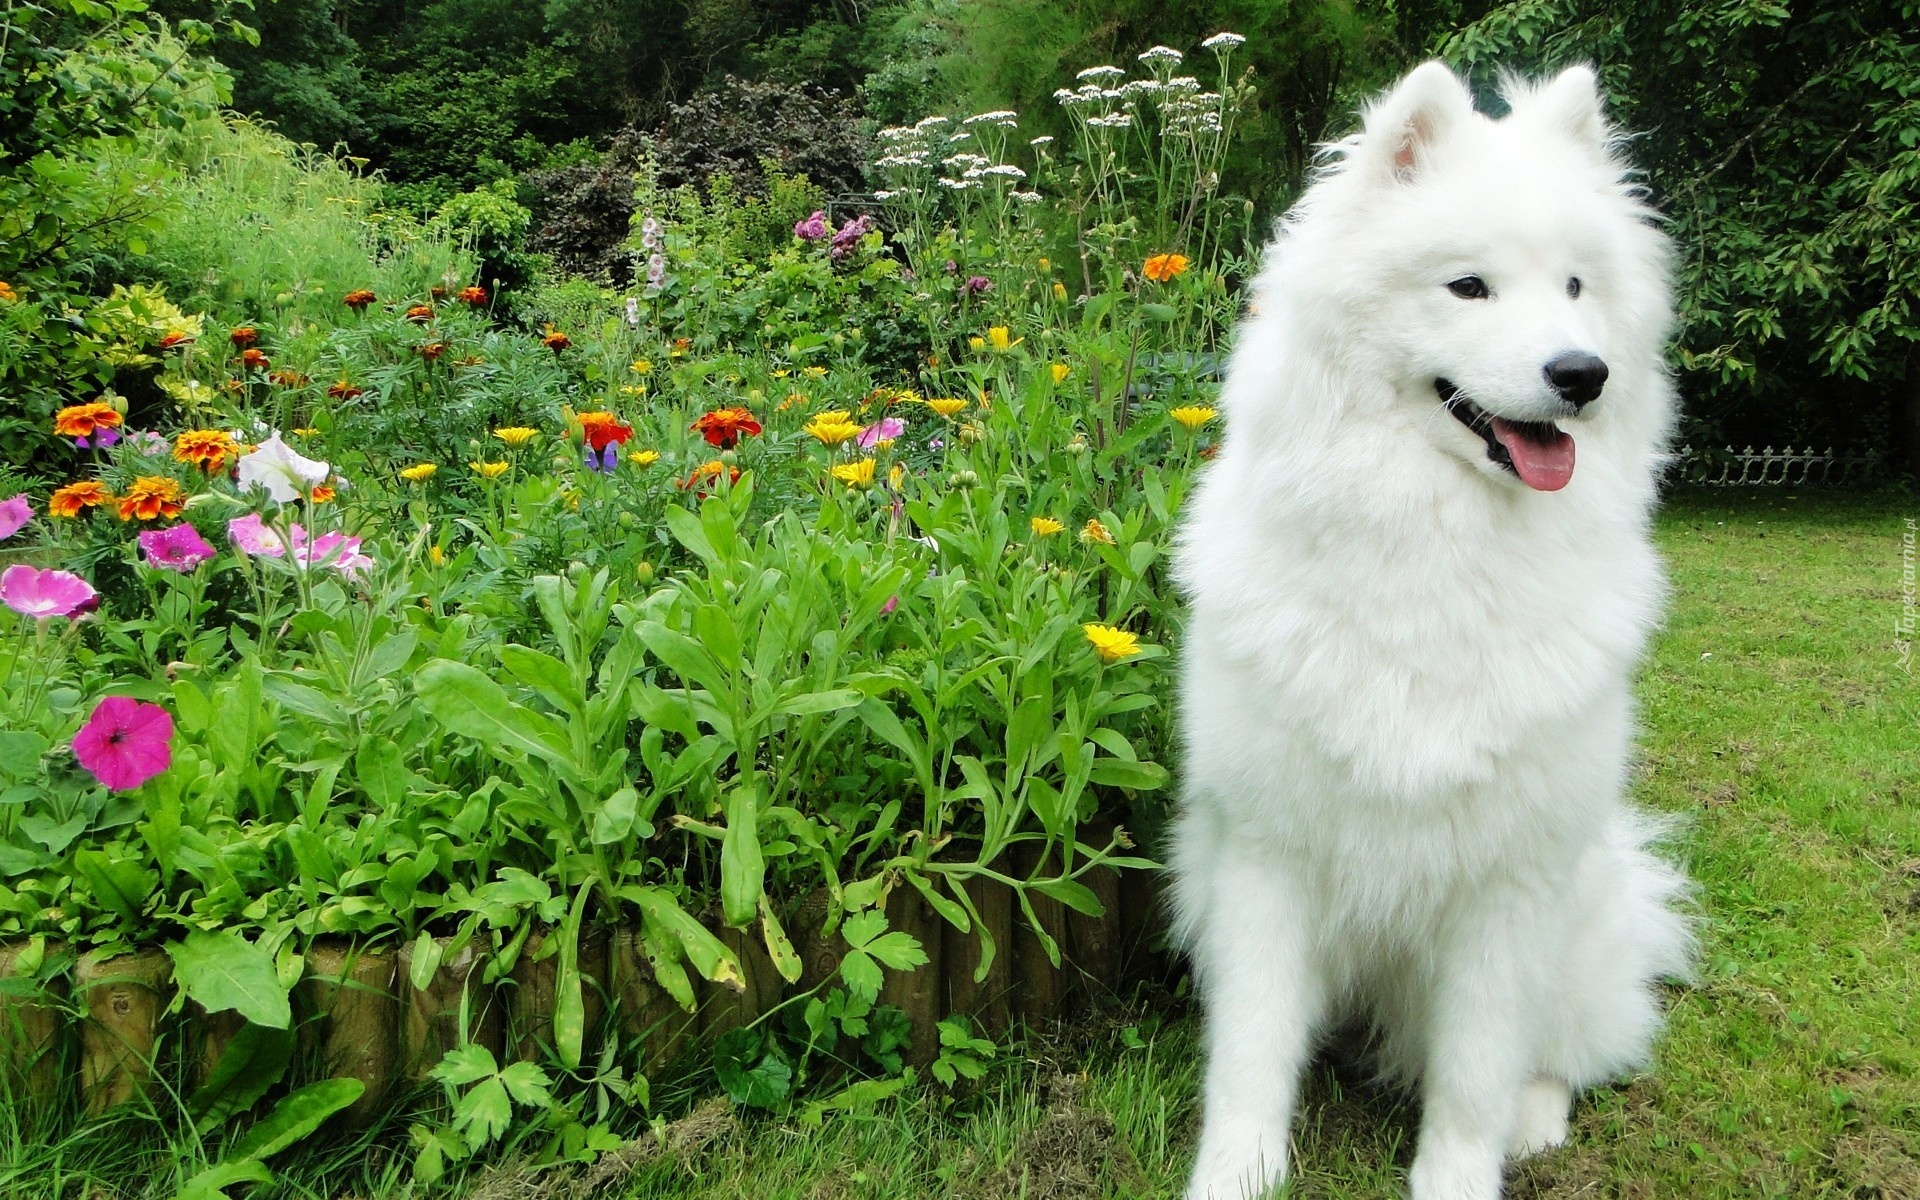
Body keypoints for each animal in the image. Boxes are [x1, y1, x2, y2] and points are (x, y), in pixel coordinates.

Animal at [1167, 63, 1697, 1198]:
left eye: (1576, 288)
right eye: (1469, 288)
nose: (1583, 373)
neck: (1435, 548)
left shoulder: (1508, 888)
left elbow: (1474, 1076)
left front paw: (1459, 1175)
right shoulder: (1266, 857)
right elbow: (1253, 1051)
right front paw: (1238, 1172)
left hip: (1577, 916)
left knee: (1558, 1055)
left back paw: (1536, 1119)